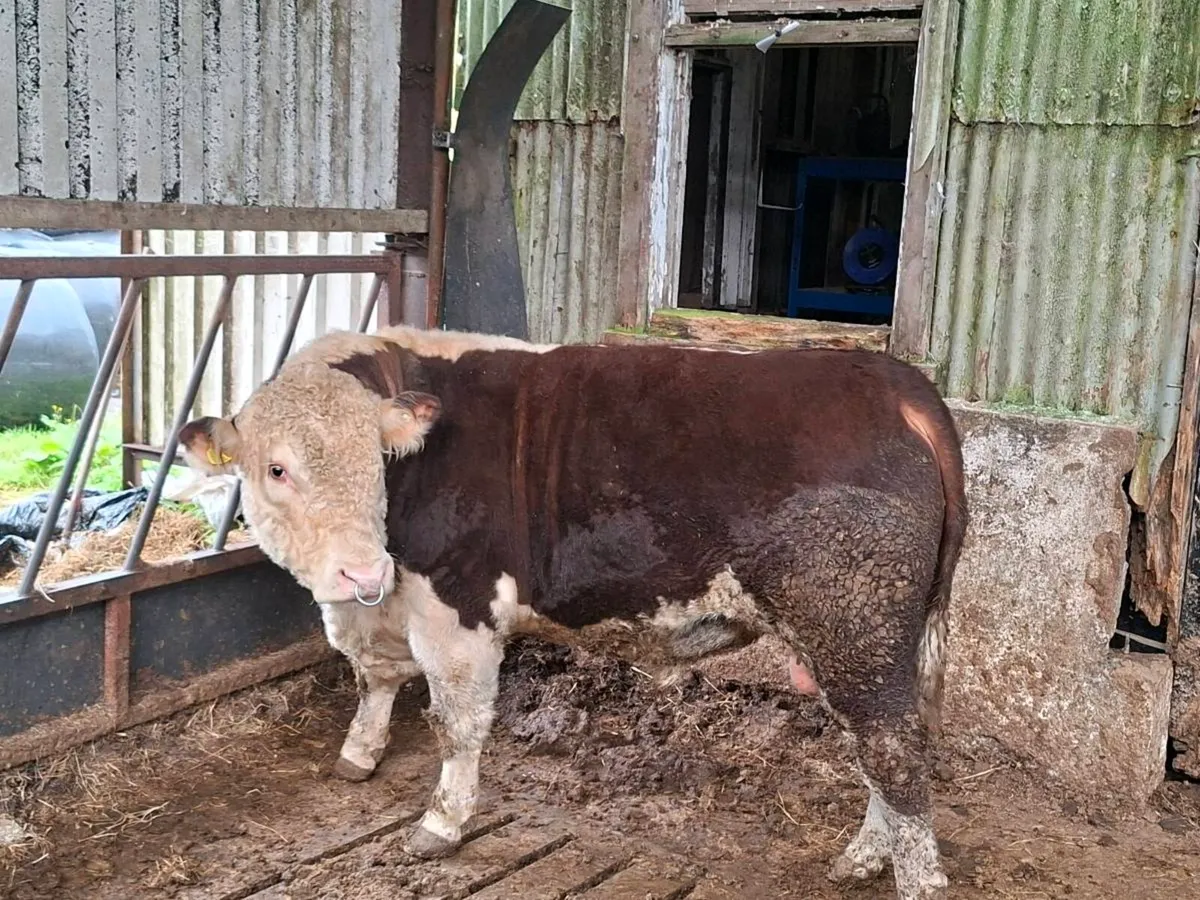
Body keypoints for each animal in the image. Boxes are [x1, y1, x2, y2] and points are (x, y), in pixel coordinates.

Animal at [178, 325, 967, 900]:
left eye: (377, 462)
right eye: (276, 469)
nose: (362, 569)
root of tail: (893, 380)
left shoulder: (456, 609)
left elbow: (457, 725)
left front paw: (441, 823)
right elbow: (375, 678)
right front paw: (359, 754)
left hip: (852, 623)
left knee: (893, 751)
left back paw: (910, 875)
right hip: (871, 638)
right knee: (886, 746)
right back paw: (863, 856)